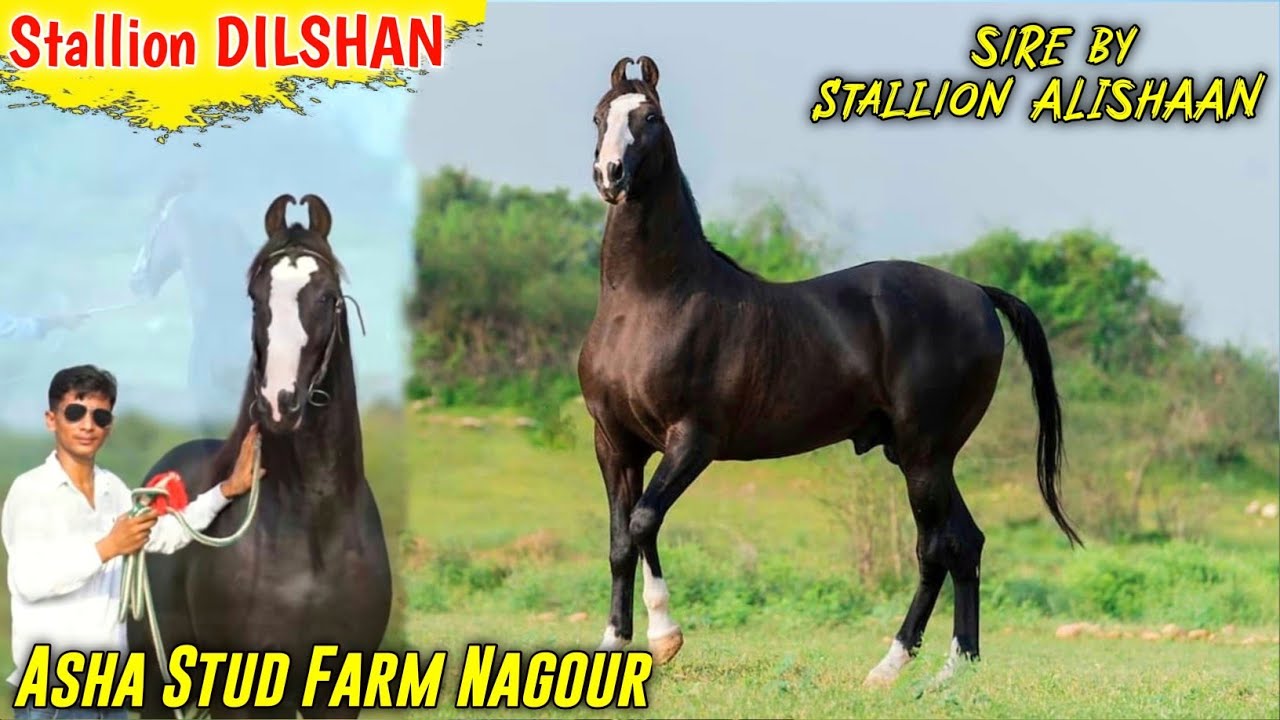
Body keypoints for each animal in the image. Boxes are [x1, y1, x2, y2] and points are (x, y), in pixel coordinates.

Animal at [576, 56, 1083, 686]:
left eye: (650, 118)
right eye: (599, 116)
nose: (610, 174)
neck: (650, 301)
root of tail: (976, 293)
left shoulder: (692, 441)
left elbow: (644, 521)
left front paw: (666, 638)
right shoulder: (614, 442)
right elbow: (621, 540)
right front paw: (615, 645)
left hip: (925, 454)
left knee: (934, 548)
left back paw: (889, 666)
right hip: (921, 455)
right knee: (965, 544)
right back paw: (952, 670)